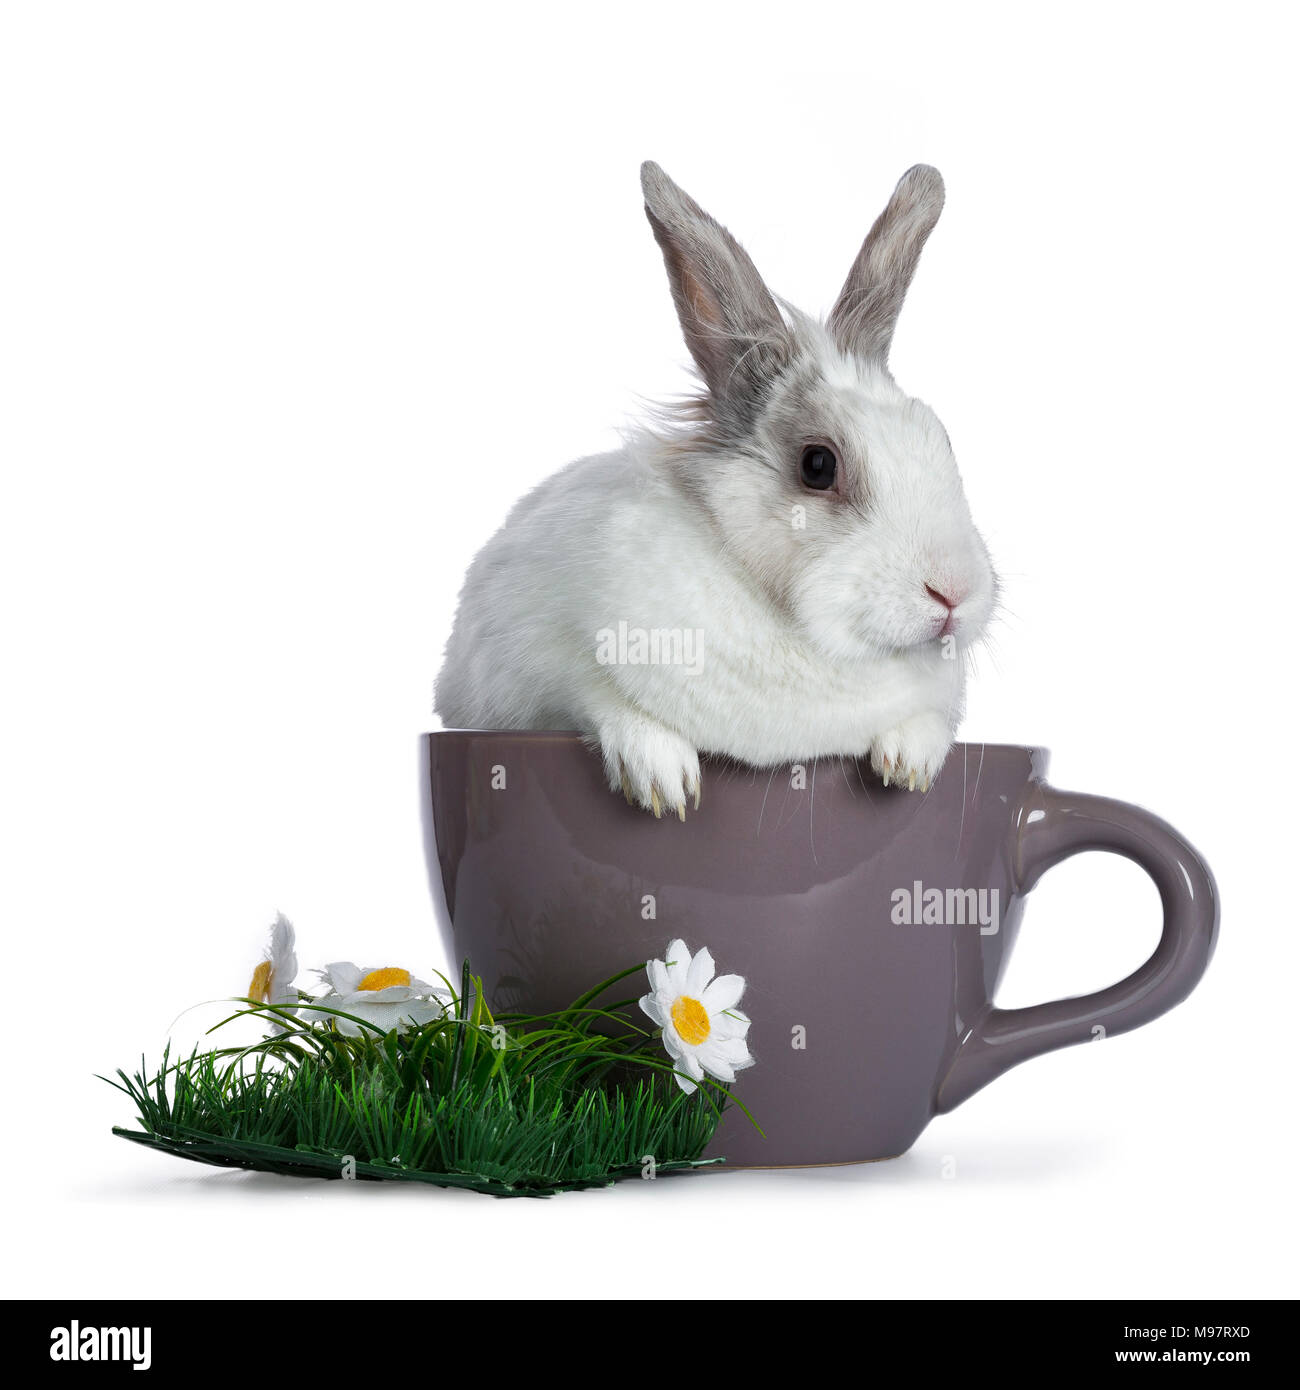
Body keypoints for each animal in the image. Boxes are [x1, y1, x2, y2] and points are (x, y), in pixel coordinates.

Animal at [434, 161, 997, 818]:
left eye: (944, 441)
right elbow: (600, 698)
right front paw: (663, 780)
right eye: (818, 465)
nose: (953, 593)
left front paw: (910, 765)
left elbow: (928, 721)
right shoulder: (540, 661)